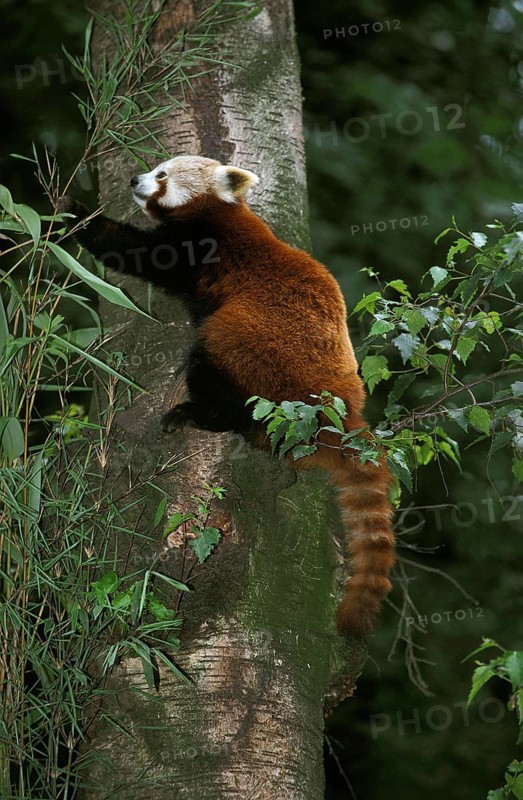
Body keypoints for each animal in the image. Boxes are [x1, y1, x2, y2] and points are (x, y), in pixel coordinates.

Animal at [59, 155, 395, 637]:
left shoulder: (200, 247)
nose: (134, 180)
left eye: (162, 175)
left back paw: (199, 414)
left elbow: (133, 251)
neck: (219, 212)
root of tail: (342, 414)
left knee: (215, 360)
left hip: (255, 349)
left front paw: (72, 212)